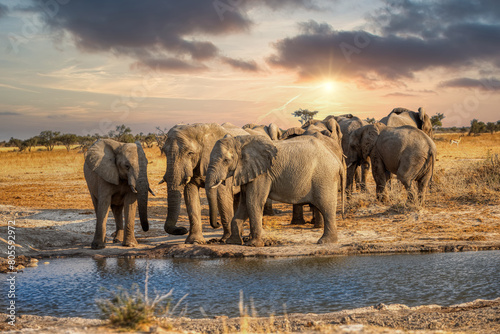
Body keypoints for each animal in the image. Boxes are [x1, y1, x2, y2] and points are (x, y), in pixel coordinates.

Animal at [204, 134, 344, 247]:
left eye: (226, 160)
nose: (217, 223)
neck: (239, 141)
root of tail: (337, 160)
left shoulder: (263, 174)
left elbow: (253, 202)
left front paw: (253, 245)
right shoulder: (247, 172)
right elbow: (244, 204)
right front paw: (233, 242)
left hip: (325, 177)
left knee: (326, 207)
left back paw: (325, 242)